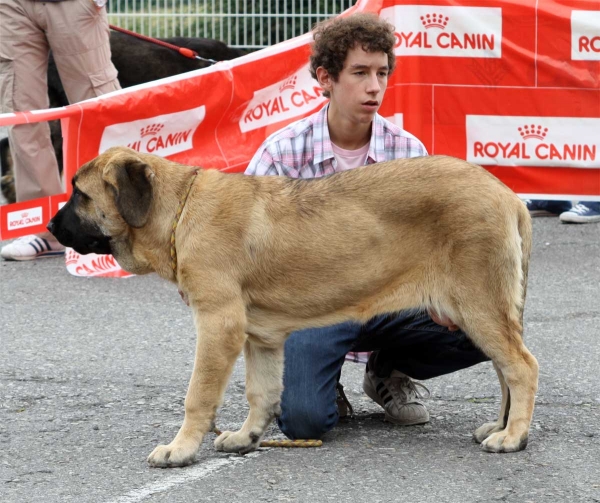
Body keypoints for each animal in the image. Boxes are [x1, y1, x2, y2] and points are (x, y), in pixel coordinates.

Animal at [48, 146, 540, 468]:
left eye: (80, 194)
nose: (51, 227)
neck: (180, 212)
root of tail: (507, 194)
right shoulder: (259, 338)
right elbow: (261, 392)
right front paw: (246, 436)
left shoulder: (218, 325)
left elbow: (198, 395)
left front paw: (181, 449)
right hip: (477, 313)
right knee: (504, 369)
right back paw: (498, 427)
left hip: (478, 305)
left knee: (521, 367)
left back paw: (513, 437)